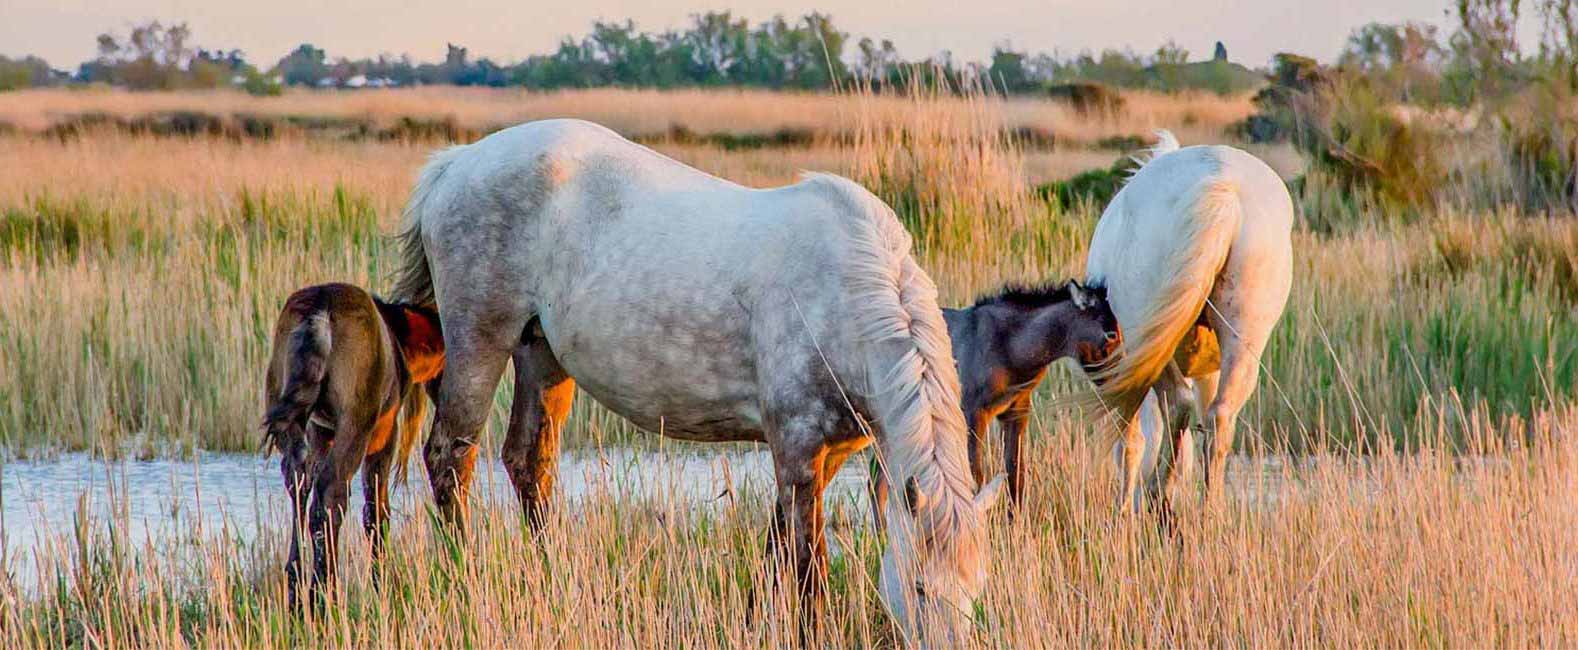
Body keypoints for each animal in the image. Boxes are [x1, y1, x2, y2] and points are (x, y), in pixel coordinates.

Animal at [394, 119, 1003, 643]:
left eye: (976, 592)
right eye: (919, 587)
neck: (847, 291)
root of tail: (456, 163)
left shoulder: (826, 454)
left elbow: (777, 547)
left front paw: (755, 623)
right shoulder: (797, 446)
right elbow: (808, 564)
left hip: (542, 354)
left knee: (529, 463)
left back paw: (553, 577)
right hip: (480, 340)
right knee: (450, 458)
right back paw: (464, 576)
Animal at [1085, 133, 1293, 514]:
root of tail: (1223, 188)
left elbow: (1131, 443)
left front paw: (1122, 510)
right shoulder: (1208, 370)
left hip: (1146, 340)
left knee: (1176, 404)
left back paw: (1159, 497)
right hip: (1243, 339)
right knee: (1219, 416)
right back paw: (1211, 510)